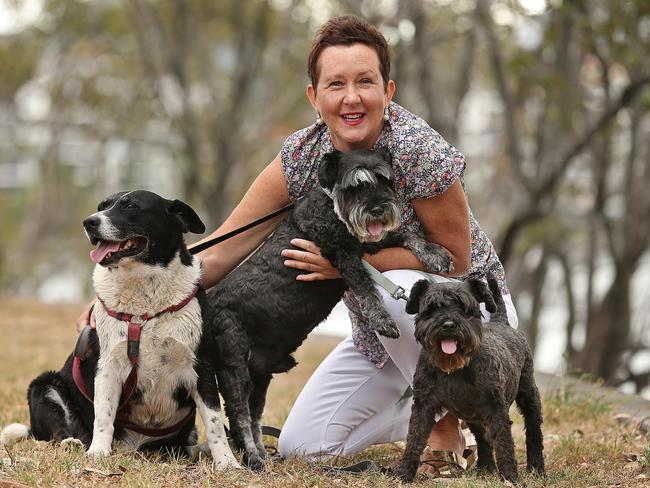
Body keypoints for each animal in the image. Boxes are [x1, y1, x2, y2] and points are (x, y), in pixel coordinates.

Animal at [0, 191, 238, 468]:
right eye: (101, 206)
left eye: (130, 206)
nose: (89, 222)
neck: (146, 300)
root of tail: (136, 447)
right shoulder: (108, 367)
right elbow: (103, 415)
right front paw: (98, 453)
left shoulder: (203, 368)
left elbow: (214, 422)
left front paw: (226, 462)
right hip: (43, 386)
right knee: (59, 429)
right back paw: (72, 442)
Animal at [206, 149, 450, 468]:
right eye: (354, 186)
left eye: (384, 179)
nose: (377, 209)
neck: (333, 206)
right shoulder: (344, 256)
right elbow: (366, 288)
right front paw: (382, 320)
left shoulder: (369, 244)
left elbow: (406, 236)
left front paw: (435, 255)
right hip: (234, 367)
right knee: (239, 416)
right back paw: (254, 460)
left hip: (259, 375)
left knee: (254, 415)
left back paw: (263, 455)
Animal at [392, 276, 544, 482]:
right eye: (431, 307)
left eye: (463, 306)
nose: (448, 324)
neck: (454, 368)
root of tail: (502, 322)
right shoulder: (423, 406)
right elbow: (414, 439)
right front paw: (404, 474)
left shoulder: (497, 408)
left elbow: (504, 442)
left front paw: (510, 477)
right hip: (472, 415)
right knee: (483, 437)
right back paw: (486, 467)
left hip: (528, 395)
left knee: (534, 431)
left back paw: (536, 469)